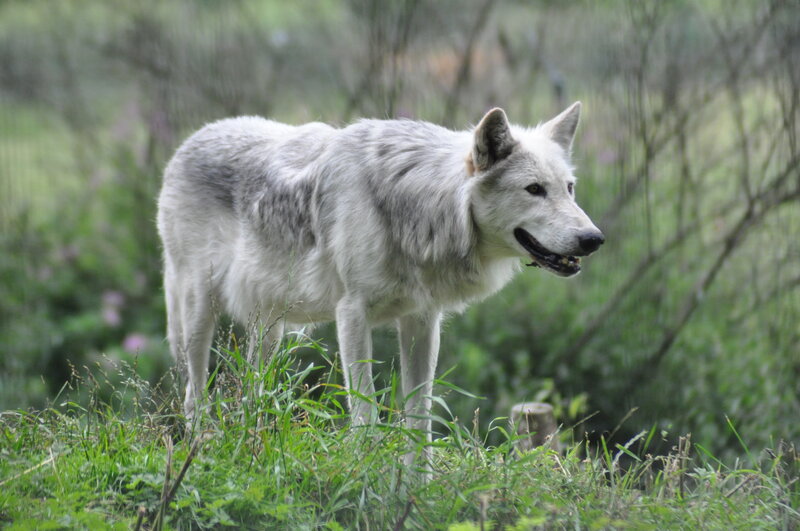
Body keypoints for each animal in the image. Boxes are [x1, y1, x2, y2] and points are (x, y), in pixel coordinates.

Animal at [157, 102, 603, 463]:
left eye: (569, 188)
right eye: (534, 189)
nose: (594, 239)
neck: (418, 206)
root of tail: (187, 142)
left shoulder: (422, 321)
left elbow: (419, 420)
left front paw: (417, 487)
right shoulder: (352, 315)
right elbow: (366, 410)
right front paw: (364, 476)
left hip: (270, 330)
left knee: (253, 392)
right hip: (198, 315)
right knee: (194, 395)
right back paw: (203, 451)